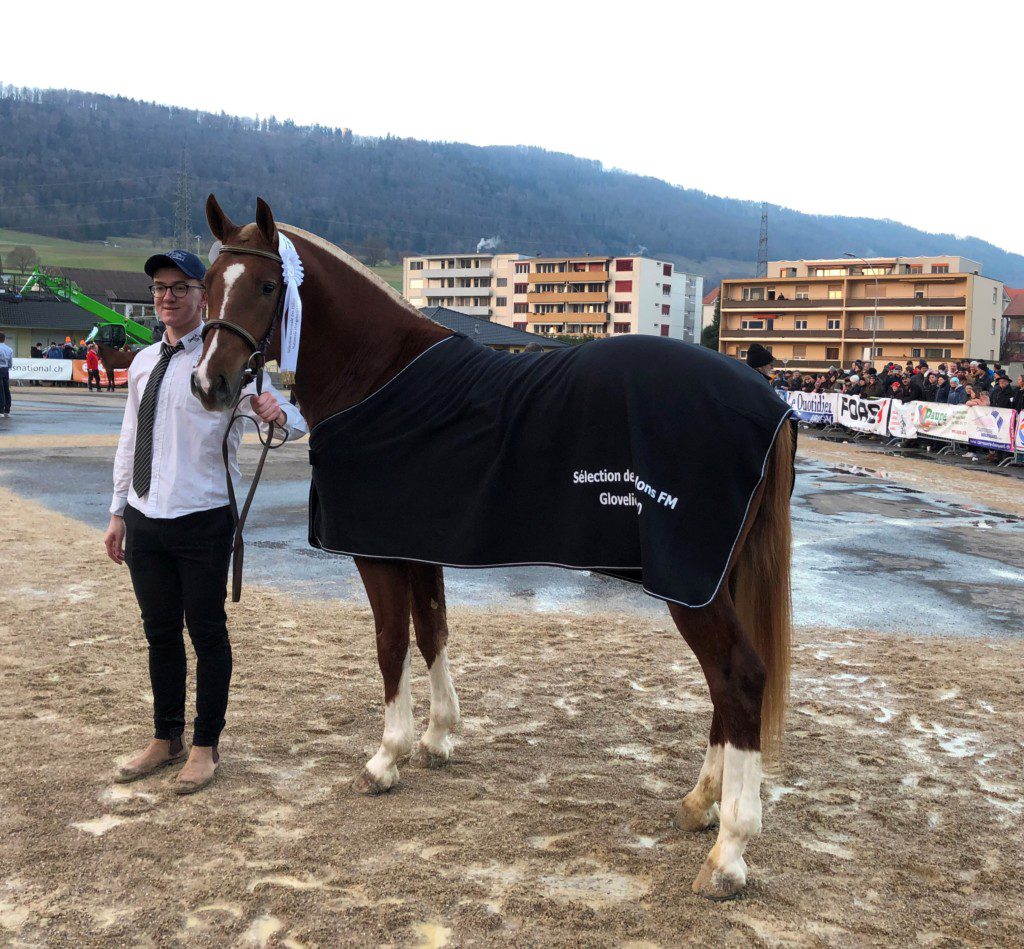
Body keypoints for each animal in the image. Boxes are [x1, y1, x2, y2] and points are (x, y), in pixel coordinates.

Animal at [193, 196, 798, 900]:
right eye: (211, 284)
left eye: (268, 286)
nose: (210, 383)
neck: (379, 375)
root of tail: (769, 401)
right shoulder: (418, 546)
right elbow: (432, 631)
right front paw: (438, 738)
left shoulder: (378, 553)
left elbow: (391, 644)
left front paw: (386, 757)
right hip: (713, 579)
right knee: (724, 688)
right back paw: (700, 804)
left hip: (690, 581)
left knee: (739, 679)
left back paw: (729, 851)